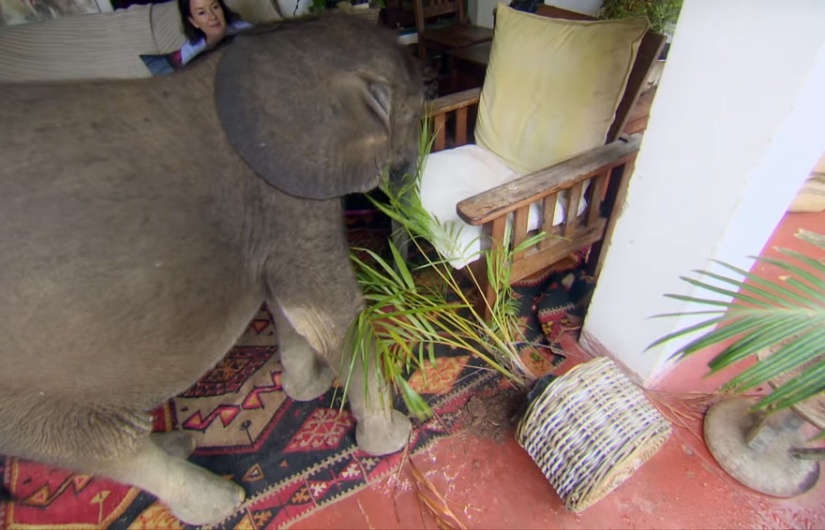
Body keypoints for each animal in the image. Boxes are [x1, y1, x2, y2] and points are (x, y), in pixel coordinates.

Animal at [0, 14, 423, 526]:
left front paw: (307, 390)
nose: (409, 275)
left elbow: (288, 307)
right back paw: (222, 500)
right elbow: (326, 314)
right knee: (102, 444)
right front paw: (394, 438)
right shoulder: (282, 195)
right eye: (416, 113)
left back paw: (180, 445)